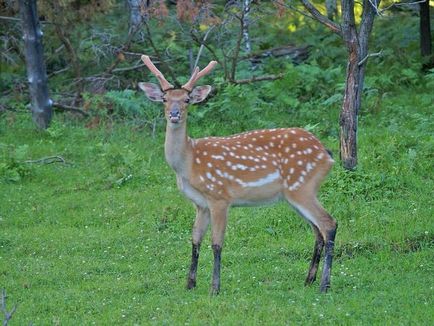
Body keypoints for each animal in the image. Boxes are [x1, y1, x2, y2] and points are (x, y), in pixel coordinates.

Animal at [139, 54, 340, 294]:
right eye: (164, 99)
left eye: (187, 100)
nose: (174, 114)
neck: (189, 163)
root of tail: (327, 154)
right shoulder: (200, 204)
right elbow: (195, 239)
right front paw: (190, 284)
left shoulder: (220, 197)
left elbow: (217, 243)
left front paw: (214, 288)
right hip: (294, 194)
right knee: (317, 230)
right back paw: (309, 280)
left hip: (302, 186)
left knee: (328, 224)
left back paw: (324, 285)